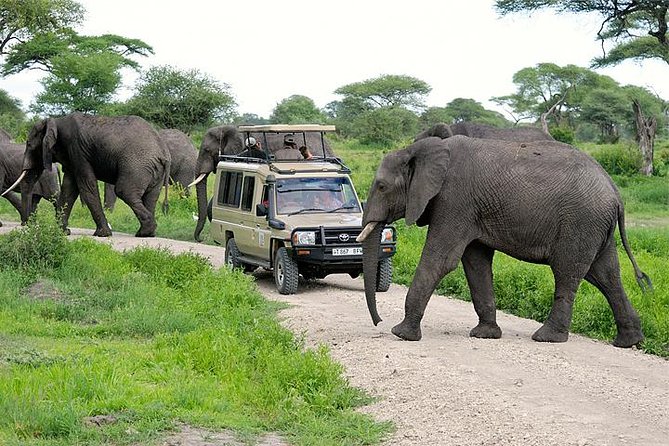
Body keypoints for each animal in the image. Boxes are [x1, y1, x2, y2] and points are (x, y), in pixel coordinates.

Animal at [6, 113, 171, 237]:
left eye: (29, 144)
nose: (26, 225)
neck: (56, 120)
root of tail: (163, 152)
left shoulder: (77, 149)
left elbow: (86, 185)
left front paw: (102, 234)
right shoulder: (72, 155)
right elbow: (69, 189)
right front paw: (62, 232)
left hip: (136, 165)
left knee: (124, 191)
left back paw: (144, 232)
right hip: (154, 170)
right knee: (150, 197)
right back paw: (147, 233)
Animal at [357, 135, 651, 348]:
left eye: (381, 186)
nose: (378, 322)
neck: (420, 149)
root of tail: (616, 193)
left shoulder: (455, 200)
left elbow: (441, 261)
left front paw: (401, 334)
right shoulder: (470, 209)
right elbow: (475, 263)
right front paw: (485, 335)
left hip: (581, 222)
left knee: (568, 272)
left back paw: (546, 338)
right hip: (595, 226)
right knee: (606, 275)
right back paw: (628, 341)